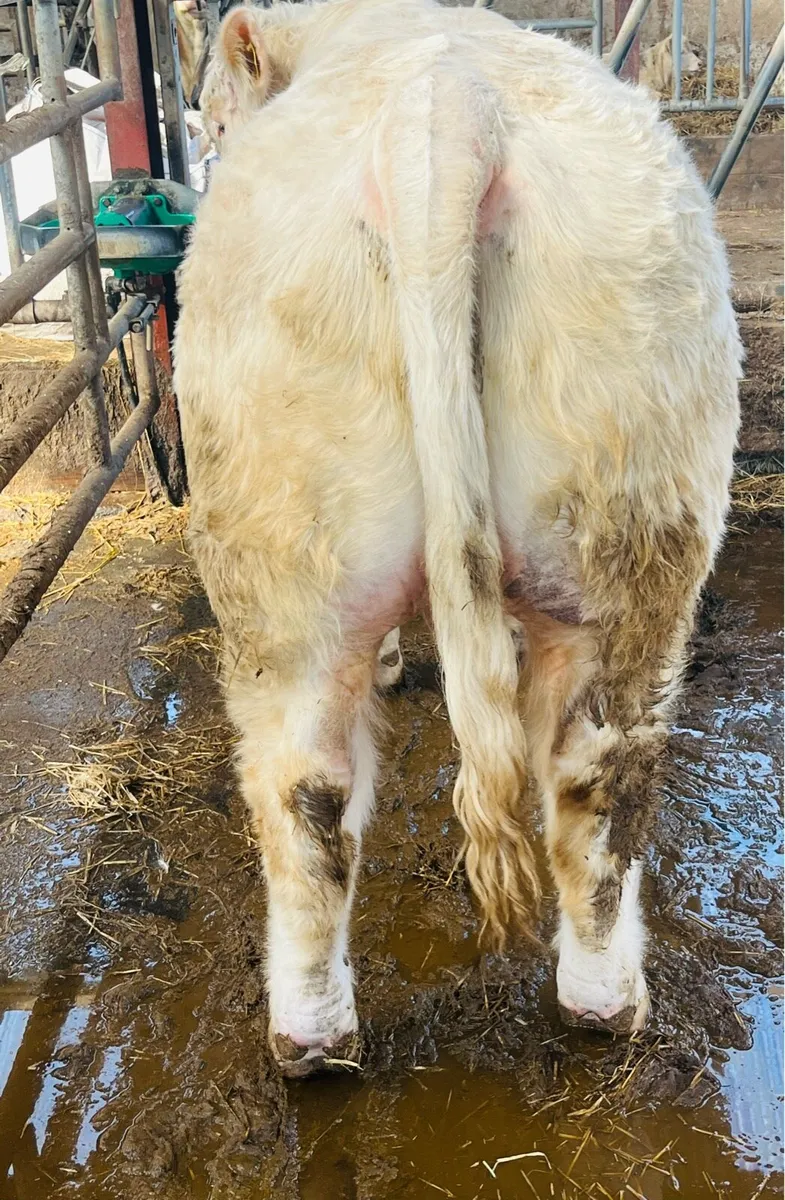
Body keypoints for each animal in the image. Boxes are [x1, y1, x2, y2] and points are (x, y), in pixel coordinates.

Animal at [174, 0, 741, 1076]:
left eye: (215, 118)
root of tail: (444, 112)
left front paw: (400, 661)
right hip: (623, 513)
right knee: (595, 772)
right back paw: (598, 1003)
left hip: (285, 554)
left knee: (308, 788)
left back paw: (313, 1037)